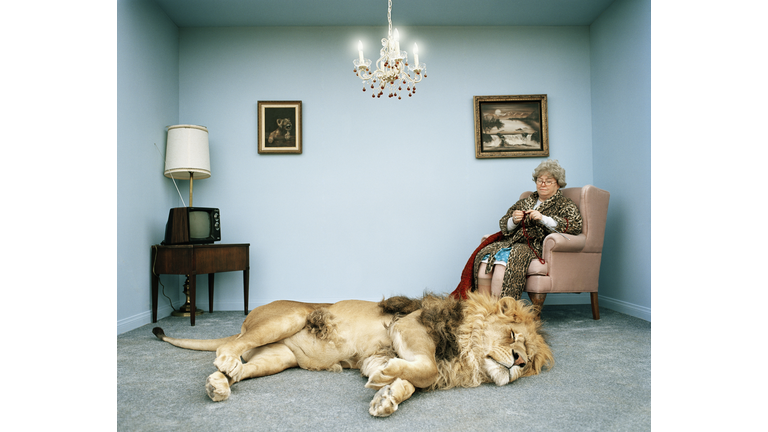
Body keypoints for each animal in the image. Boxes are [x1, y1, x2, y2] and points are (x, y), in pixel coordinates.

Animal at [153, 292, 552, 416]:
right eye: (513, 335)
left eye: (527, 358)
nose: (517, 360)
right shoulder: (407, 325)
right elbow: (423, 369)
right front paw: (388, 381)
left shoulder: (378, 354)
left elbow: (410, 380)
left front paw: (387, 397)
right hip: (290, 317)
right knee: (227, 347)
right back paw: (224, 364)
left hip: (276, 358)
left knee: (243, 368)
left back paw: (220, 383)